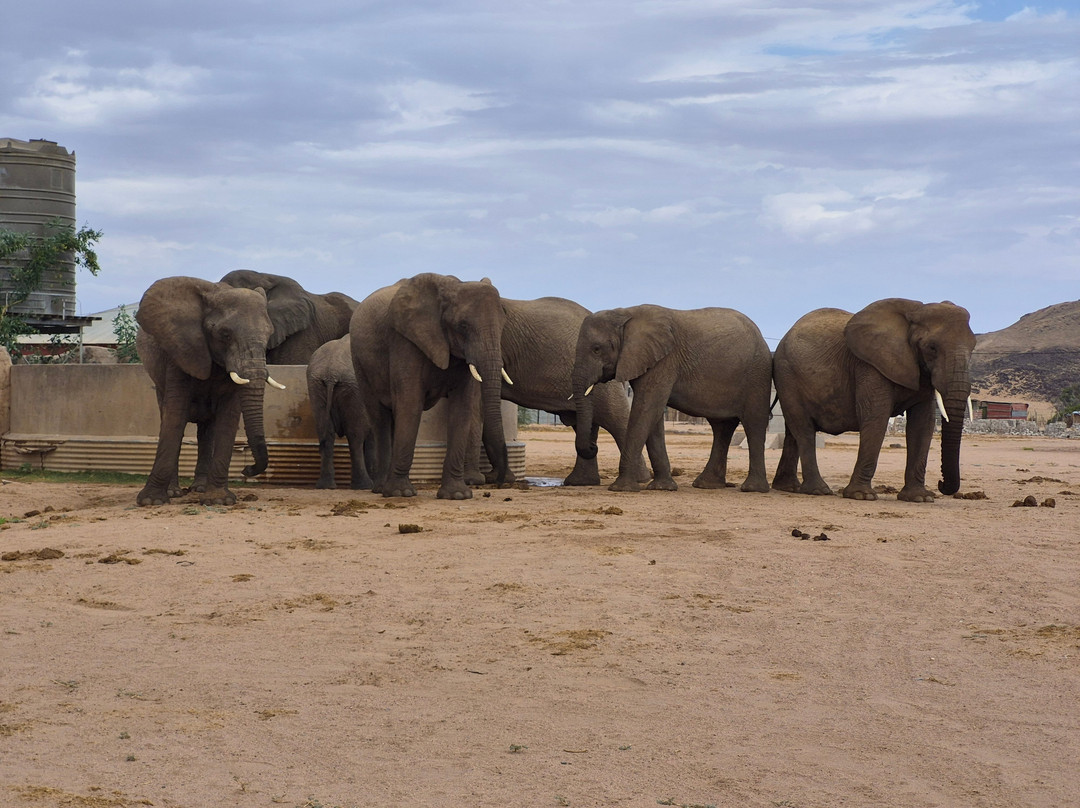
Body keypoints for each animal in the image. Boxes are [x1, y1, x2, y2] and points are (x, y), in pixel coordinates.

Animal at [134, 276, 284, 506]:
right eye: (225, 334)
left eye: (269, 335)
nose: (247, 469)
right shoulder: (180, 351)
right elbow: (175, 416)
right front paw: (151, 501)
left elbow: (228, 417)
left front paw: (219, 501)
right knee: (170, 420)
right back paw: (174, 492)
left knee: (207, 430)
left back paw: (200, 489)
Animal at [306, 335, 374, 490]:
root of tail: (331, 374)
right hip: (354, 388)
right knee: (355, 436)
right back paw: (365, 485)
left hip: (316, 386)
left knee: (325, 433)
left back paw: (325, 485)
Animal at [349, 273, 513, 499]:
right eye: (463, 326)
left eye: (503, 324)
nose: (497, 483)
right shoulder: (404, 340)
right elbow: (410, 403)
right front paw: (401, 493)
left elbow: (462, 408)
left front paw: (457, 495)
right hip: (360, 362)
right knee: (380, 418)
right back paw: (382, 489)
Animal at [571, 304, 773, 493]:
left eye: (596, 349)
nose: (593, 446)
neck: (626, 313)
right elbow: (653, 415)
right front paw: (662, 487)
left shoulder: (664, 361)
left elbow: (646, 409)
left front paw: (621, 488)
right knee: (722, 427)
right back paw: (707, 485)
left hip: (757, 374)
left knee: (753, 424)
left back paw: (752, 489)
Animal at [771, 298, 976, 502]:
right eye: (932, 347)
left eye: (973, 347)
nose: (941, 485)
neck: (914, 312)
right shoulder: (870, 365)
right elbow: (876, 416)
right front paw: (861, 495)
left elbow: (922, 424)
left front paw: (920, 498)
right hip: (787, 375)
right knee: (803, 429)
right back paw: (818, 490)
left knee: (793, 432)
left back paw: (789, 487)